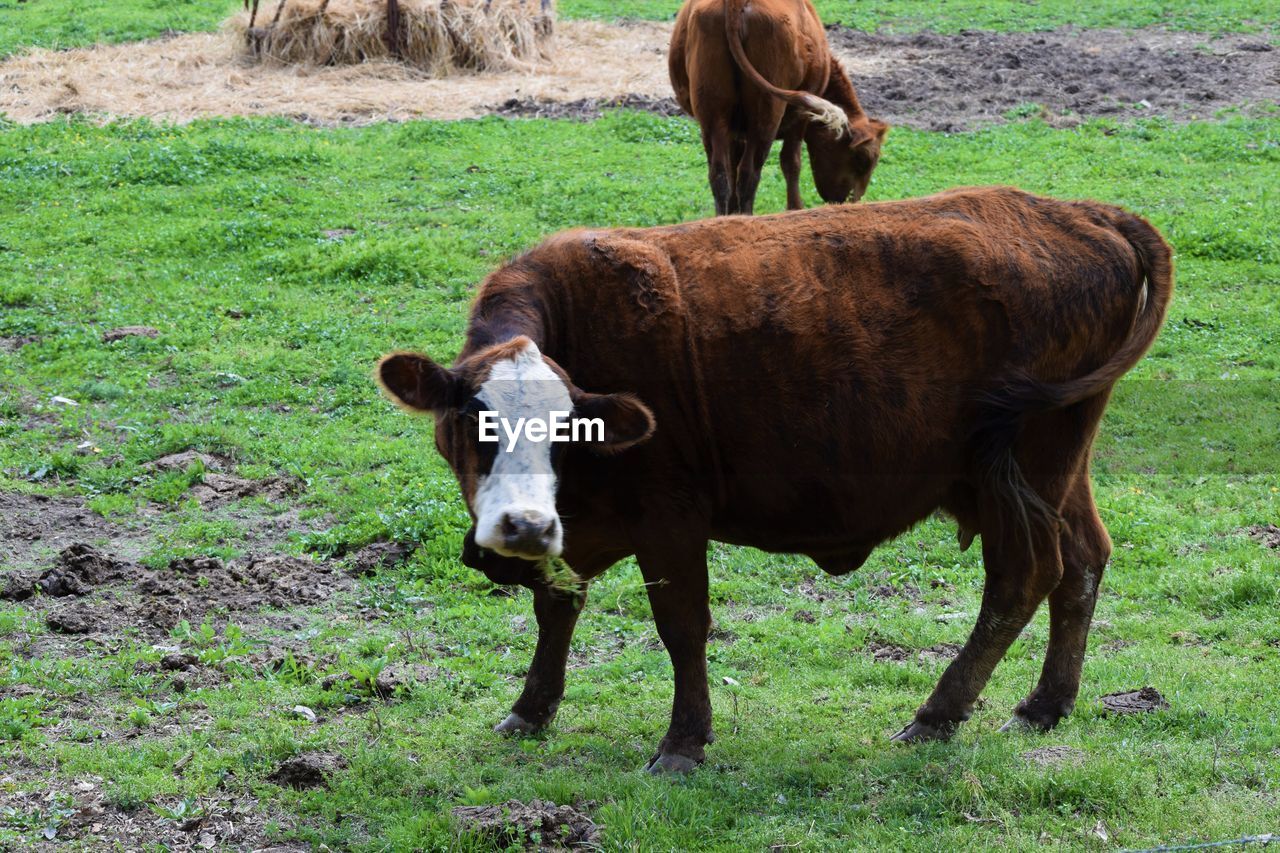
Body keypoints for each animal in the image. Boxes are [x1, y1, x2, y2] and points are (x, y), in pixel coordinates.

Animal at [376, 185, 1172, 768]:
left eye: (570, 430)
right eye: (473, 421)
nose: (521, 526)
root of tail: (1079, 212)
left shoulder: (670, 519)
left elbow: (681, 626)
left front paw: (683, 741)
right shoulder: (572, 528)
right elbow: (556, 604)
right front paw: (532, 708)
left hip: (1018, 471)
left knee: (1023, 577)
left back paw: (937, 714)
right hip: (1059, 464)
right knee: (1083, 561)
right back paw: (1045, 703)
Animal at [670, 0, 890, 213]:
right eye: (863, 160)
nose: (850, 201)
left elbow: (732, 164)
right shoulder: (801, 118)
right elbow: (791, 162)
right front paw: (795, 208)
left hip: (712, 115)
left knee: (720, 173)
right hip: (767, 114)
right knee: (749, 173)